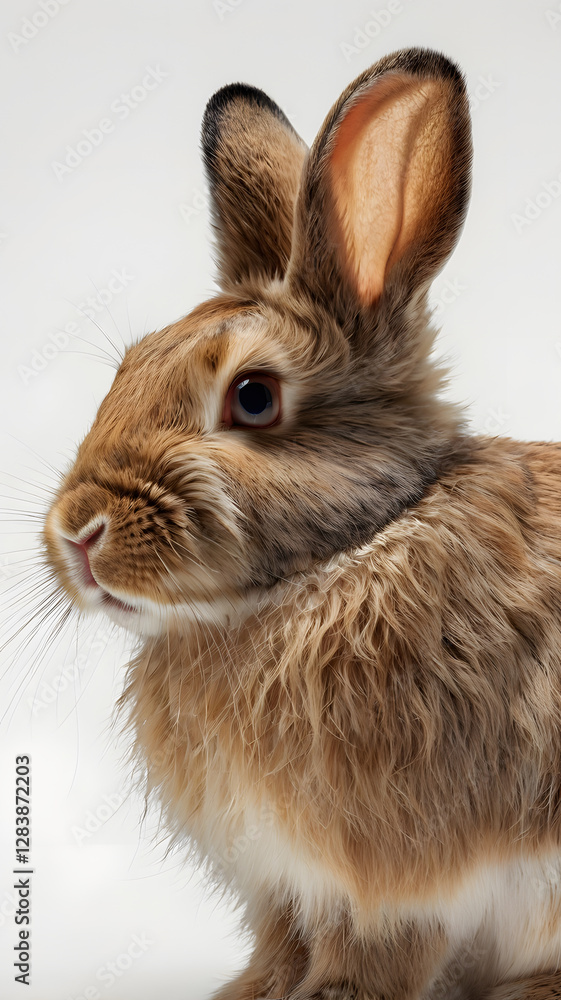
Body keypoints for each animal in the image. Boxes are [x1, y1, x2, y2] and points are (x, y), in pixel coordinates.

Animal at [43, 46, 561, 1000]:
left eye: (253, 397)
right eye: (126, 367)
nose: (78, 532)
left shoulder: (400, 878)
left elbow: (386, 945)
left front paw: (334, 996)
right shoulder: (283, 880)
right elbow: (282, 937)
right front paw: (252, 991)